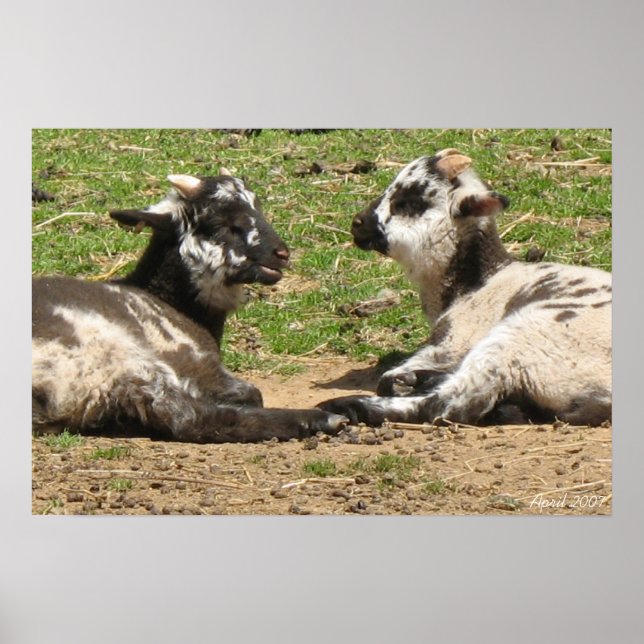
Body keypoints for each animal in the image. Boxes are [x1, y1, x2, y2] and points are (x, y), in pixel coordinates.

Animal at [32, 173, 347, 442]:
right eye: (221, 225)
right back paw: (321, 419)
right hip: (116, 359)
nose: (281, 254)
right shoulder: (192, 359)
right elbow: (251, 392)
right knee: (190, 419)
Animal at [318, 149, 612, 427]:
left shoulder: (453, 341)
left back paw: (348, 406)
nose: (357, 223)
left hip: (520, 340)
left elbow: (389, 379)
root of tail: (603, 400)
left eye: (410, 202)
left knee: (450, 406)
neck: (477, 283)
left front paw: (408, 381)